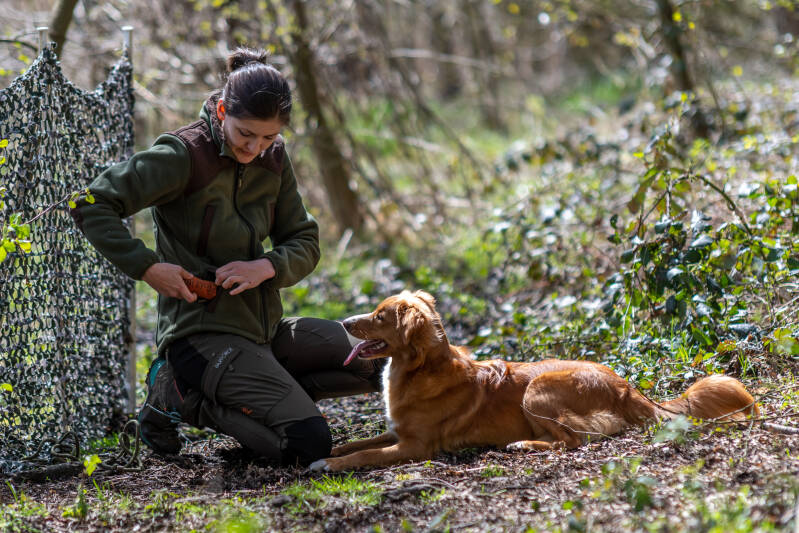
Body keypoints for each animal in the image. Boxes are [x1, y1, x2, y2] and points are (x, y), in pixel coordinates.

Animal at [309, 290, 758, 471]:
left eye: (380, 316)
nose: (344, 323)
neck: (422, 368)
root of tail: (627, 386)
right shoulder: (397, 431)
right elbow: (358, 442)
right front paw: (329, 450)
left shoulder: (415, 446)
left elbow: (364, 455)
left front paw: (326, 463)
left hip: (536, 390)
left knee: (574, 442)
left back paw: (523, 445)